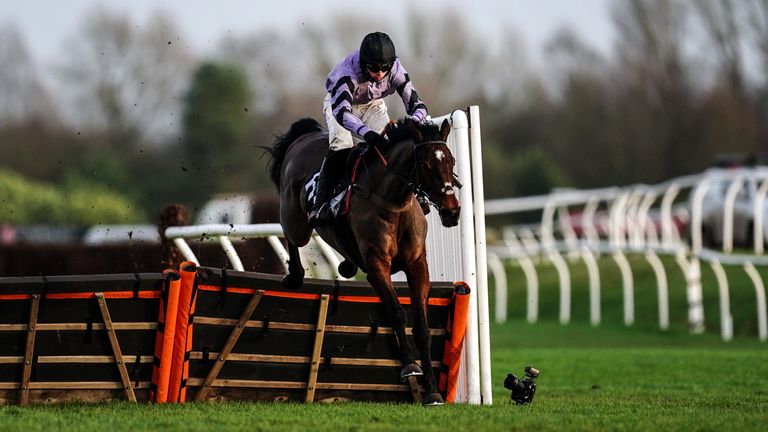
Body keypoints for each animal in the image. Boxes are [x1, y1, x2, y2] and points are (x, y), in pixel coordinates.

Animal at [264, 115, 462, 404]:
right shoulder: (377, 265)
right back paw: (295, 276)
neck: (393, 202)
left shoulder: (417, 265)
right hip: (295, 219)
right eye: (425, 165)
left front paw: (433, 390)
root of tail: (306, 135)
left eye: (452, 161)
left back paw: (346, 264)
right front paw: (409, 366)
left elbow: (422, 327)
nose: (452, 212)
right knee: (292, 236)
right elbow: (396, 312)